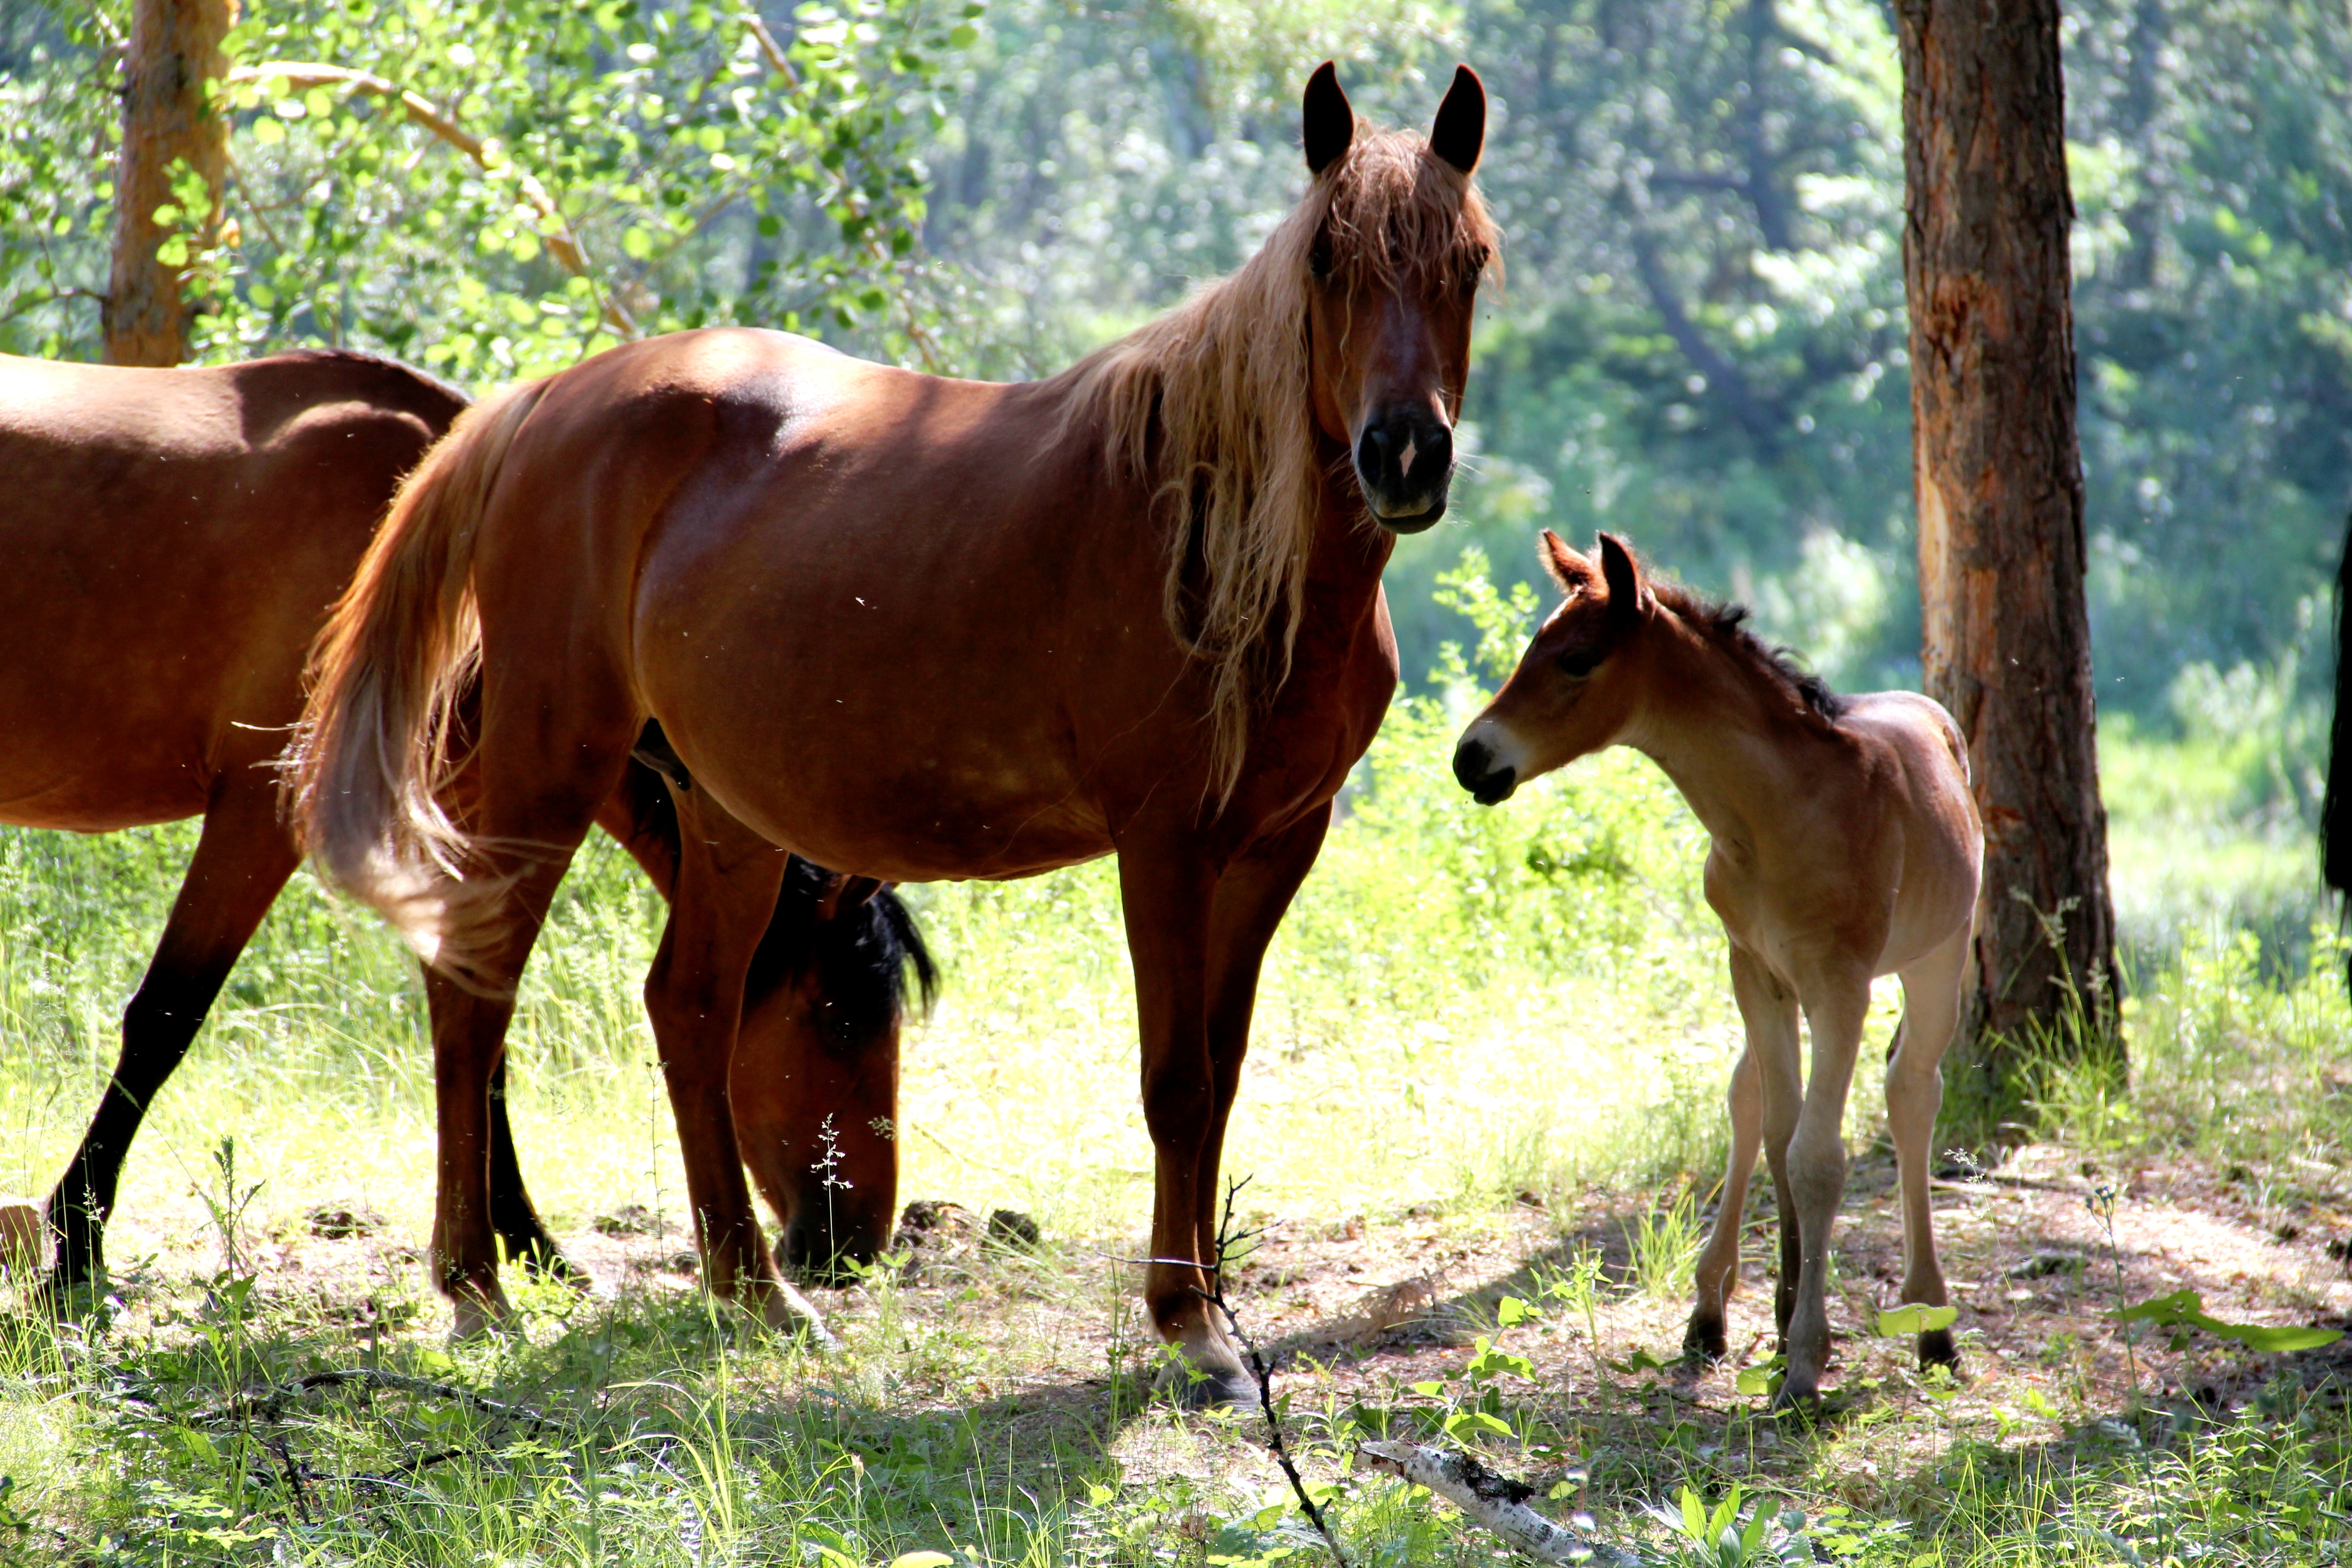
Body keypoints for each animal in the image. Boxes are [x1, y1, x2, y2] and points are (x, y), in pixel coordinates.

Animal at [0, 350, 917, 1307]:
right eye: (840, 1020)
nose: (853, 1242)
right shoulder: (260, 807)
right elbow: (168, 1016)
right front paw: (77, 1244)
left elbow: (481, 1034)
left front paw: (527, 1242)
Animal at [294, 61, 1496, 1401]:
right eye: (1330, 260)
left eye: (1469, 262)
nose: (1404, 453)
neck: (1221, 533)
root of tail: (537, 405)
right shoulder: (1167, 848)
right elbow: (1176, 1082)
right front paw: (1188, 1326)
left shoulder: (1277, 844)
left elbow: (1222, 1073)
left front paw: (1216, 1309)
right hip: (550, 770)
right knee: (477, 988)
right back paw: (479, 1290)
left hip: (727, 819)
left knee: (689, 1010)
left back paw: (754, 1295)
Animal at [1449, 534, 1985, 1401]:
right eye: (1531, 645)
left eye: (1575, 659)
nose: (1472, 758)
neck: (1782, 812)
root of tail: (1933, 713)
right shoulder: (1754, 972)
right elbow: (1778, 1131)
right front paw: (1777, 1317)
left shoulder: (1840, 988)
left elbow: (1817, 1157)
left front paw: (1803, 1361)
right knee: (1750, 1097)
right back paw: (1720, 1310)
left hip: (1937, 958)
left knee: (1911, 1094)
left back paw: (1931, 1323)